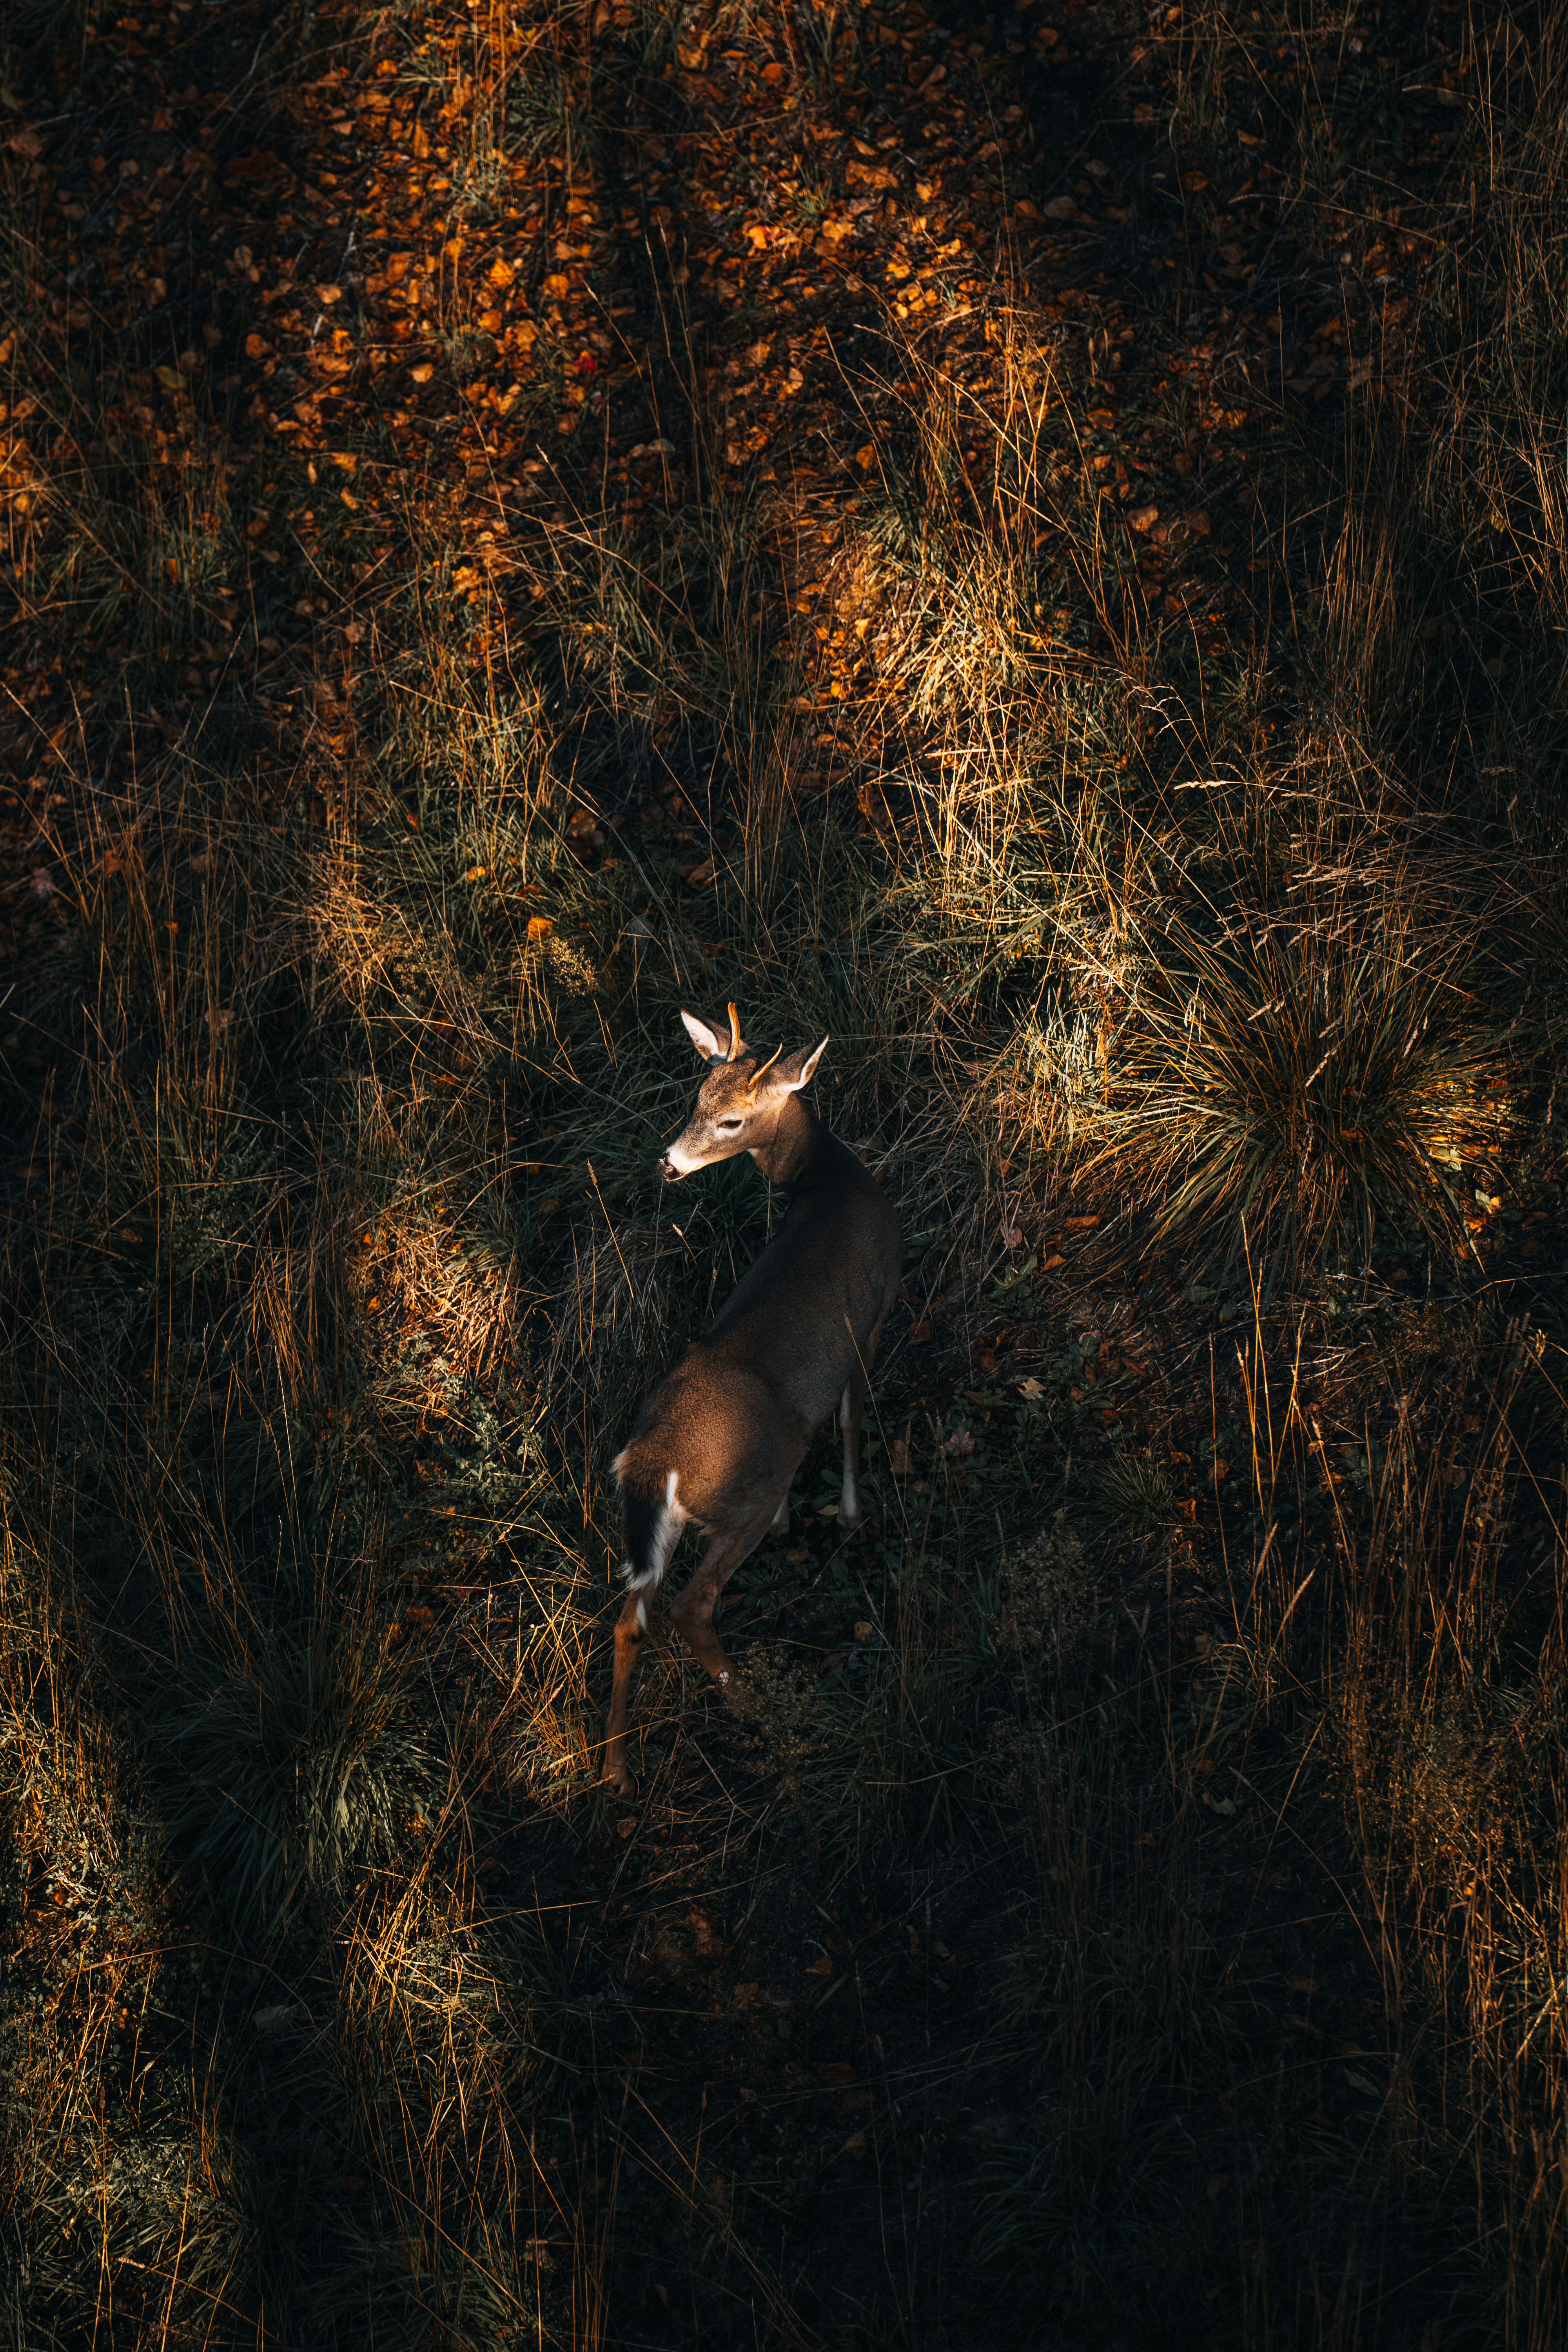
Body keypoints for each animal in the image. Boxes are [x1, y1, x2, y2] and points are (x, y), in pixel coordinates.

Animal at [602, 1003, 902, 1796]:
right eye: (696, 1101)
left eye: (729, 1115)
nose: (668, 1163)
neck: (828, 1183)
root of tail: (653, 1465)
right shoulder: (872, 1316)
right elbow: (853, 1418)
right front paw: (851, 1518)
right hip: (748, 1489)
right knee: (690, 1606)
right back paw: (760, 1707)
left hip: (664, 1525)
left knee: (629, 1617)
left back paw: (613, 1767)